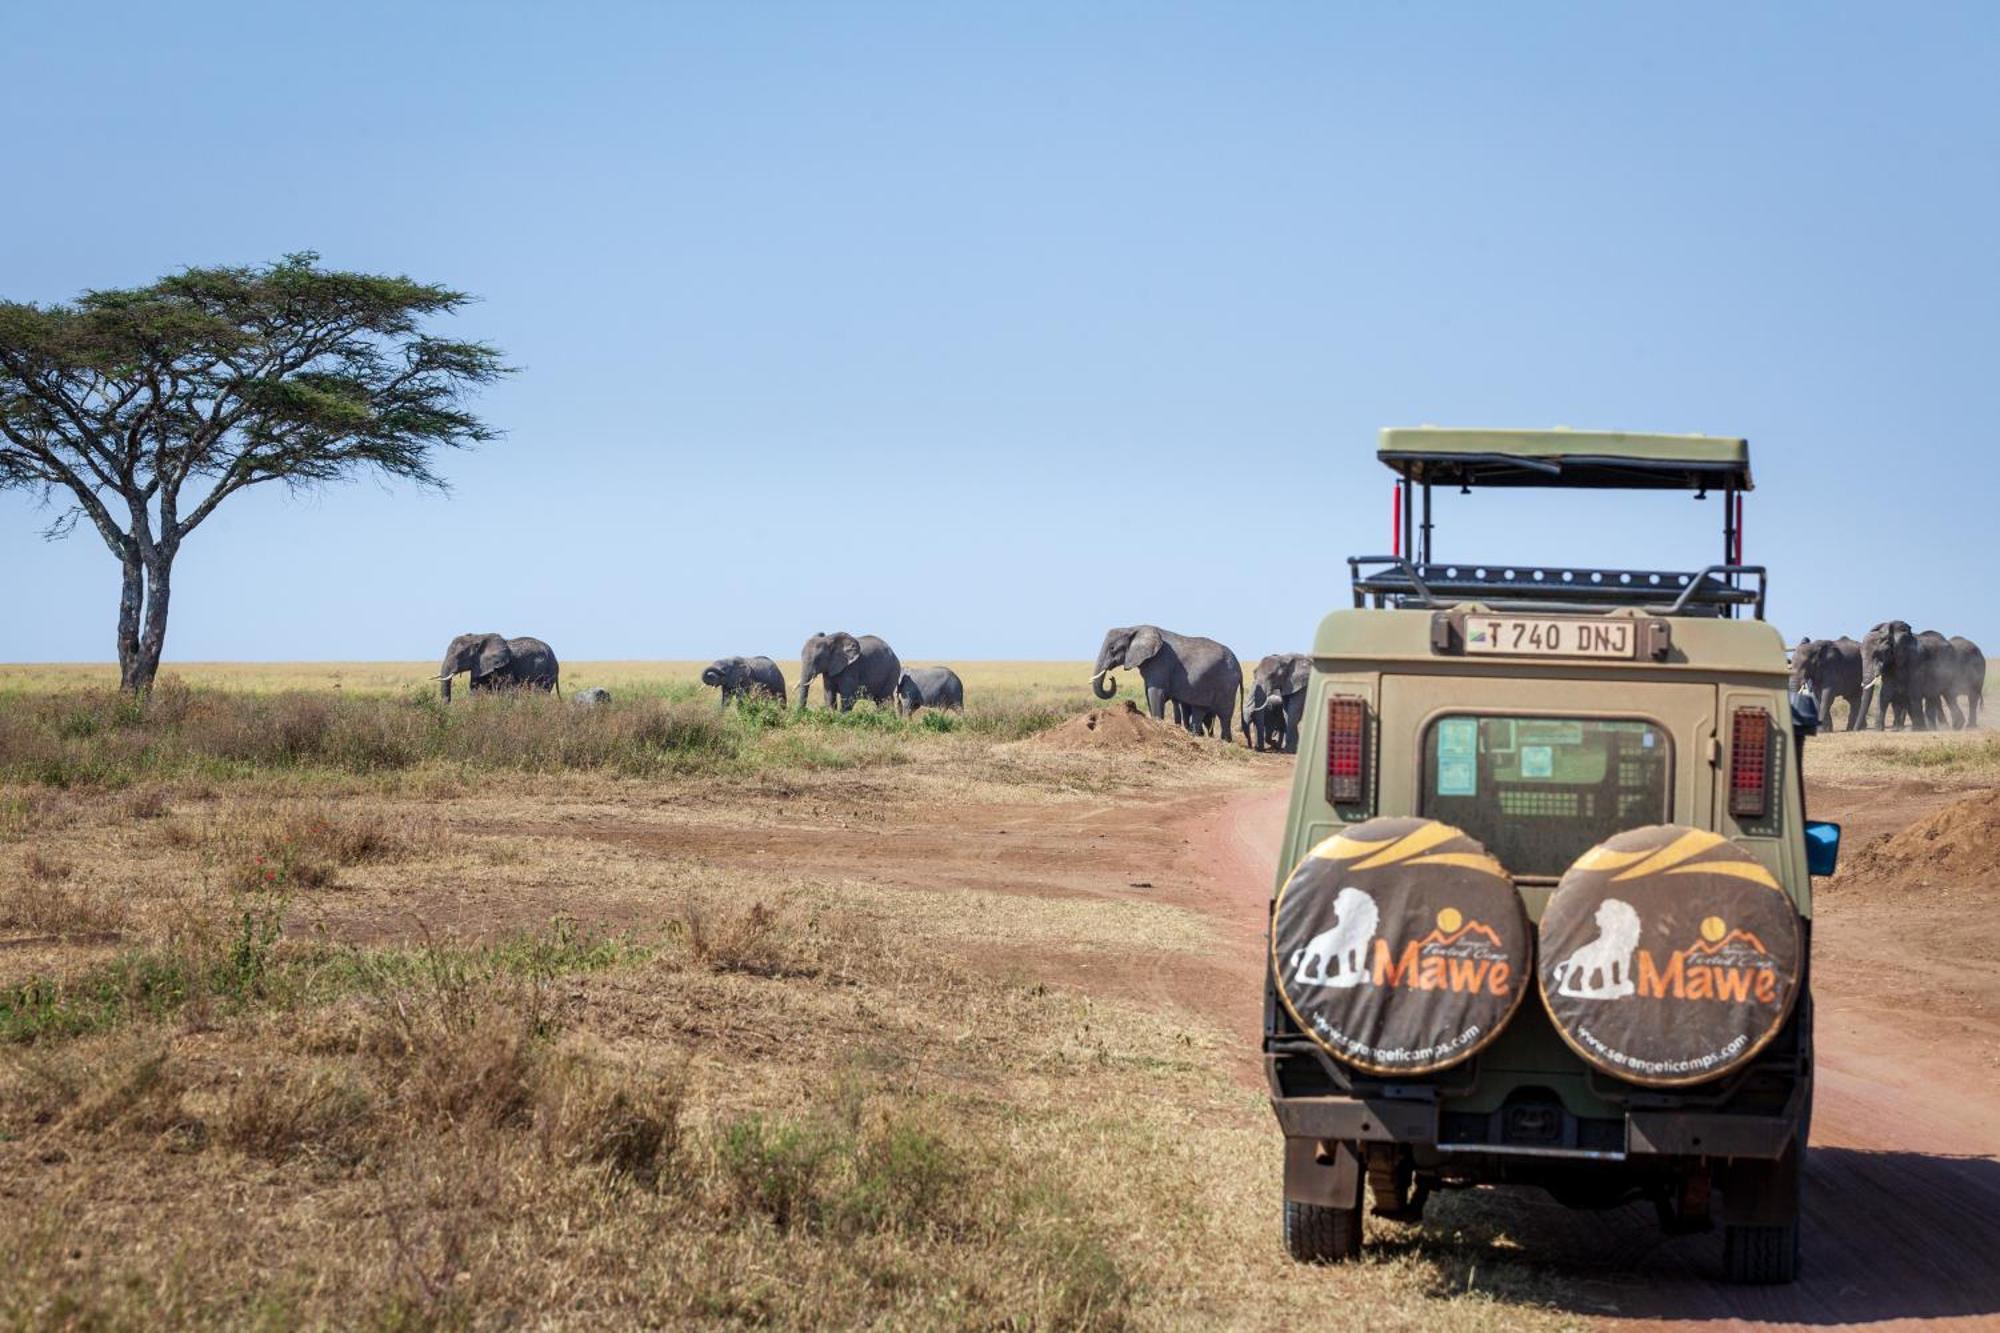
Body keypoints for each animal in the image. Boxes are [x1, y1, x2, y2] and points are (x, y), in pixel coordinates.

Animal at [1096, 620, 1232, 736]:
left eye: (1112, 648)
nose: (1111, 678)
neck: (1134, 628)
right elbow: (1148, 693)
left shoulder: (1160, 661)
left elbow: (1155, 692)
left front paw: (1158, 724)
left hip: (1227, 683)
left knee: (1225, 717)